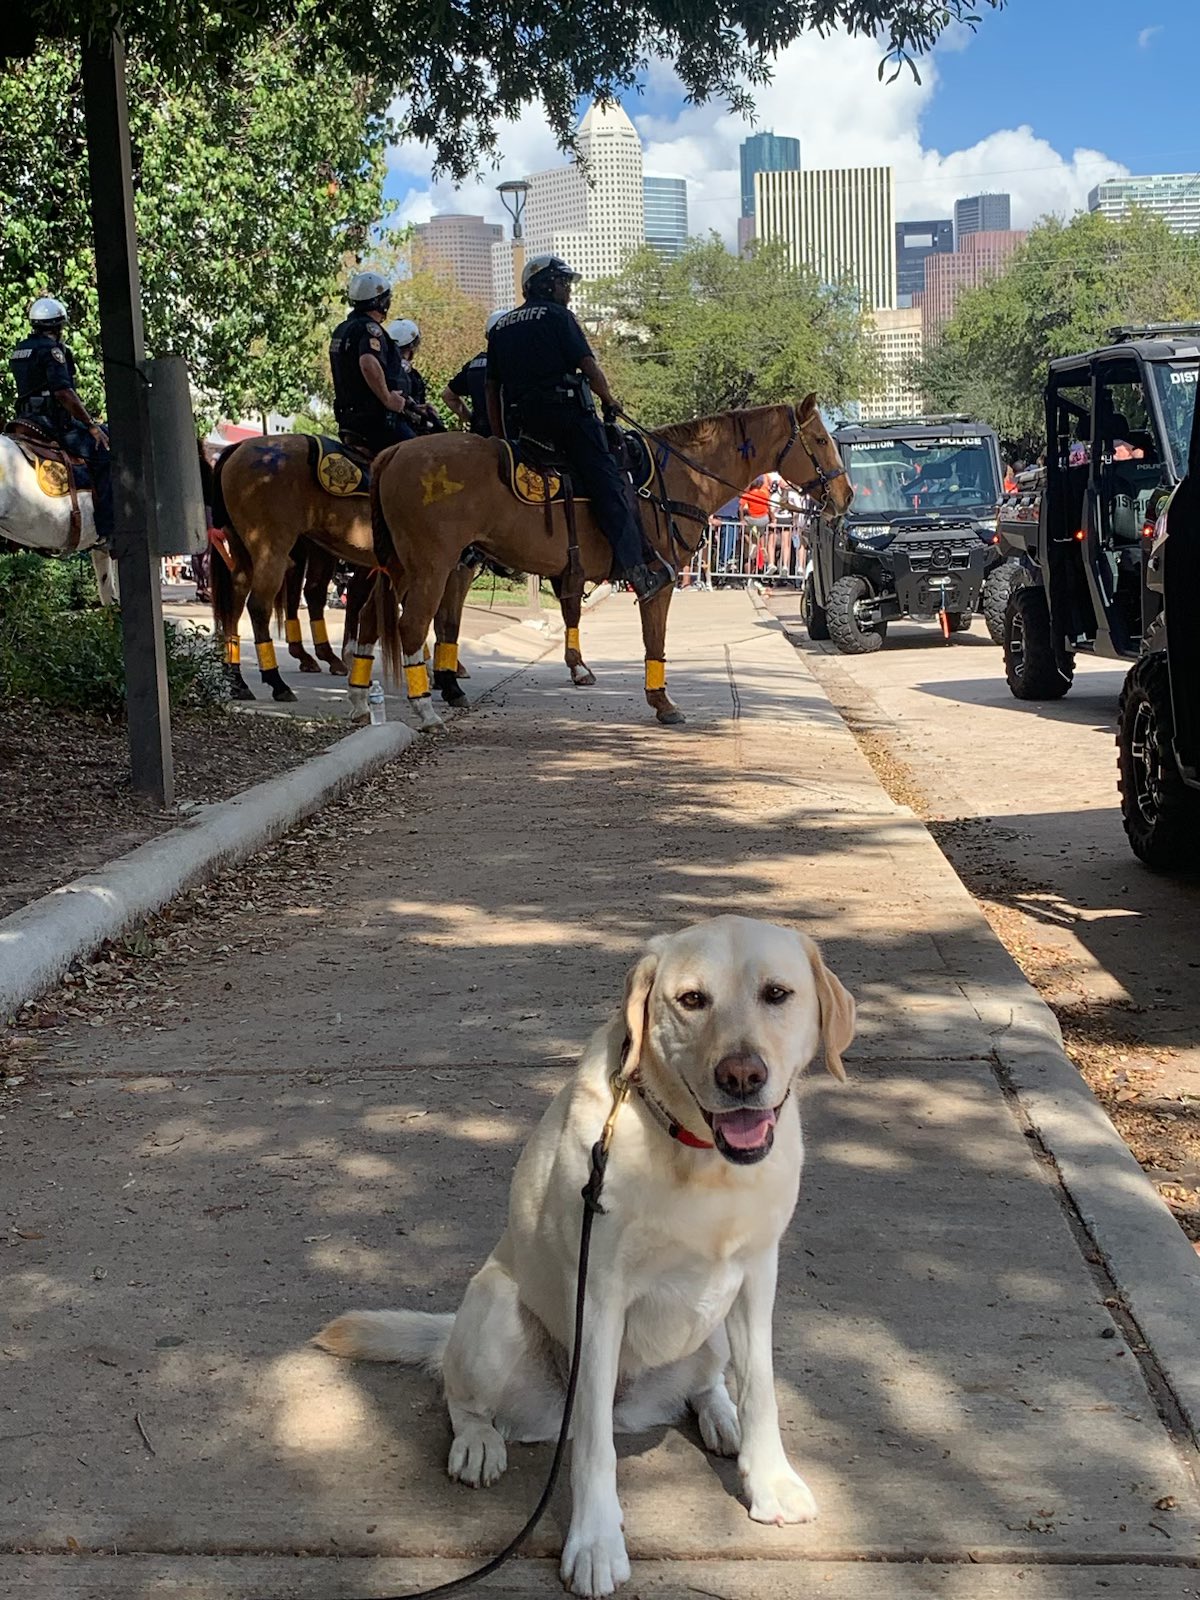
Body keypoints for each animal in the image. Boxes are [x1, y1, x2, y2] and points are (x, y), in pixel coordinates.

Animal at [316, 921, 857, 1593]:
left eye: (777, 994)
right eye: (692, 1000)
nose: (740, 1076)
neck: (699, 1158)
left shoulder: (757, 1277)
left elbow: (761, 1390)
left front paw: (771, 1481)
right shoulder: (598, 1300)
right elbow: (595, 1446)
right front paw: (596, 1542)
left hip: (713, 1326)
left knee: (708, 1383)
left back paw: (720, 1416)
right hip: (495, 1308)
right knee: (463, 1396)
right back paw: (477, 1443)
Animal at [361, 393, 851, 732]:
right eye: (820, 440)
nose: (846, 496)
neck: (678, 478)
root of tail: (394, 453)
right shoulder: (659, 580)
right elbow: (655, 640)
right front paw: (662, 702)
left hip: (404, 568)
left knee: (371, 619)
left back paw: (362, 697)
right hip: (434, 567)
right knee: (412, 626)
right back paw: (425, 710)